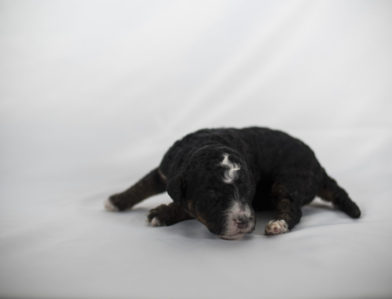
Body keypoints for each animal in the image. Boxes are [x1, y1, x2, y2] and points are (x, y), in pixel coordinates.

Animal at [105, 127, 362, 240]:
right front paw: (116, 201)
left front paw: (161, 213)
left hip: (289, 180)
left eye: (249, 192)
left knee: (292, 207)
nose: (244, 221)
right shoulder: (163, 172)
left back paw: (278, 224)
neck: (205, 145)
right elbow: (142, 185)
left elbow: (184, 207)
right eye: (212, 197)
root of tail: (319, 166)